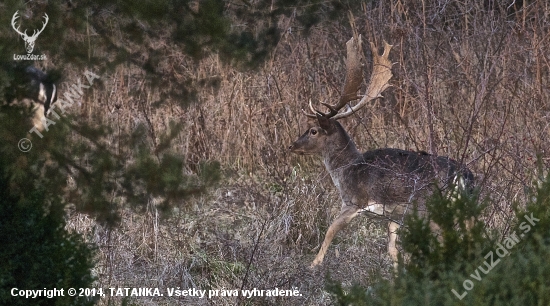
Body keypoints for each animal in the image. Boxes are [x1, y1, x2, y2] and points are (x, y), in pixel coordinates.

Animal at [292, 35, 476, 268]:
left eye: (313, 130)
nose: (292, 145)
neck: (345, 169)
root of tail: (462, 175)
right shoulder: (396, 214)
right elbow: (392, 248)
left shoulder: (354, 200)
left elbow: (331, 230)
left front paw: (314, 264)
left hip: (429, 204)